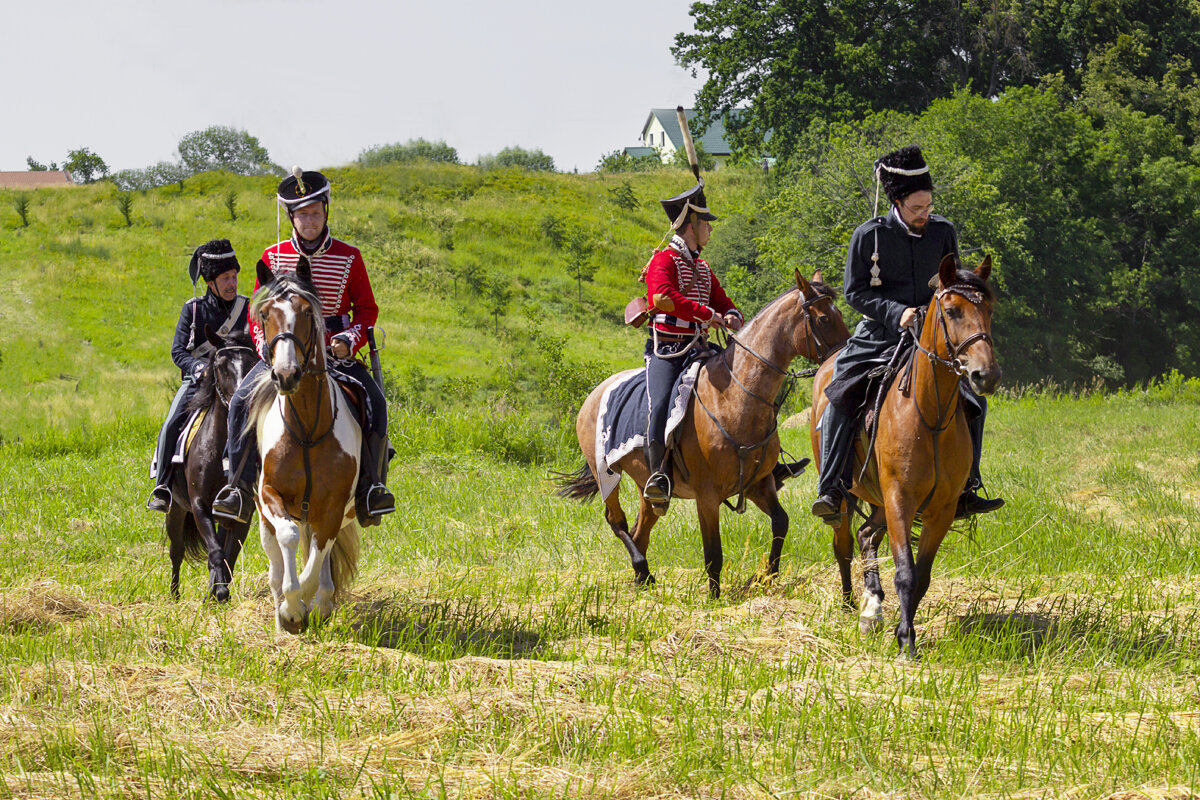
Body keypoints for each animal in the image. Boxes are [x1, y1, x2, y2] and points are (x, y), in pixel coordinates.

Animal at [164, 326, 258, 599]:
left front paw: (216, 594)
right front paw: (219, 594)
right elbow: (215, 552)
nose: (243, 401)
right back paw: (174, 595)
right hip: (175, 510)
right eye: (220, 365)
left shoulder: (241, 513)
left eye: (253, 363)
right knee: (176, 551)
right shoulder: (198, 506)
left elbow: (228, 557)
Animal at [241, 260, 357, 633]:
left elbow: (316, 561)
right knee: (277, 558)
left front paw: (306, 606)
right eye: (264, 313)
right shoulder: (269, 494)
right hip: (263, 515)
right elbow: (289, 537)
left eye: (307, 312)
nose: (286, 374)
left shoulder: (334, 508)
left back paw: (319, 604)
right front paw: (290, 610)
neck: (307, 427)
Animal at [556, 272, 849, 597]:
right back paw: (642, 569)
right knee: (617, 521)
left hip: (647, 487)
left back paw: (642, 577)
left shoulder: (759, 484)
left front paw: (766, 576)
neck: (734, 399)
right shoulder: (707, 497)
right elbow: (713, 551)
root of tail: (593, 395)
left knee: (640, 528)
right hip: (606, 474)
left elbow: (780, 523)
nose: (843, 358)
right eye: (824, 318)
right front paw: (714, 596)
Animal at [811, 253, 998, 662]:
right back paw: (851, 603)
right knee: (844, 544)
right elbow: (906, 572)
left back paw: (871, 610)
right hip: (849, 500)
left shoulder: (941, 509)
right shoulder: (899, 499)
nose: (985, 375)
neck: (929, 415)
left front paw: (903, 631)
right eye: (952, 311)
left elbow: (921, 576)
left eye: (989, 310)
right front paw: (905, 643)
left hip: (879, 502)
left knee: (866, 536)